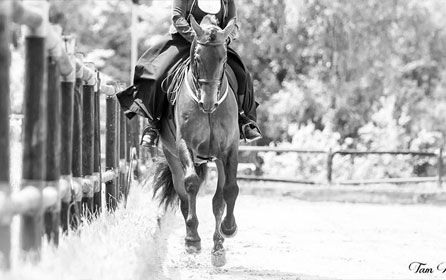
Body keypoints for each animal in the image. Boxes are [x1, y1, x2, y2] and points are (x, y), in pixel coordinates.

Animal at [155, 15, 242, 266]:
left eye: (224, 58)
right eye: (197, 59)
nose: (208, 103)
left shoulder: (230, 149)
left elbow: (230, 190)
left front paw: (229, 229)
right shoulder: (185, 146)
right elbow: (191, 184)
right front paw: (193, 240)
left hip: (218, 160)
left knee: (218, 200)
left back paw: (218, 247)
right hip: (173, 157)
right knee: (184, 195)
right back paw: (192, 237)